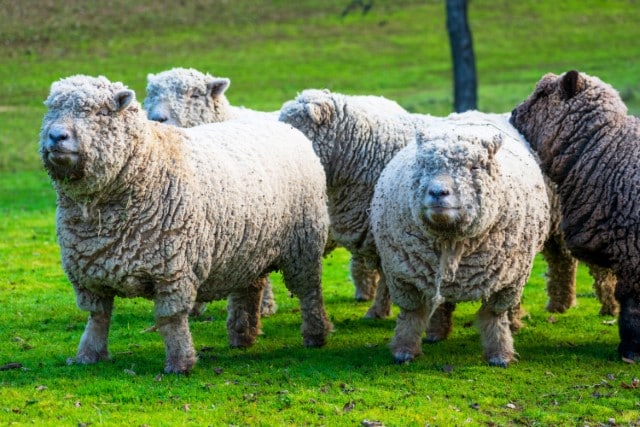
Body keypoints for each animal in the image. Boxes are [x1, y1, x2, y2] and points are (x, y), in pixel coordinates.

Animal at [40, 75, 332, 372]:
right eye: (51, 109)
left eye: (100, 112)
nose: (56, 136)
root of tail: (284, 126)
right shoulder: (89, 274)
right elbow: (97, 318)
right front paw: (88, 355)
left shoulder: (173, 271)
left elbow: (171, 321)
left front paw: (180, 363)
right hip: (250, 249)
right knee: (250, 289)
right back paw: (242, 335)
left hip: (303, 247)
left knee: (309, 292)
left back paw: (315, 335)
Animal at [370, 113, 552, 368]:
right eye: (426, 166)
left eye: (474, 167)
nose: (437, 192)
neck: (450, 238)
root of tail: (470, 114)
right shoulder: (401, 276)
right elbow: (411, 315)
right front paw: (404, 350)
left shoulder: (508, 280)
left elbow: (494, 317)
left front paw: (500, 353)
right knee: (440, 301)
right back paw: (436, 332)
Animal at [508, 69, 636, 362]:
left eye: (543, 93)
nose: (513, 113)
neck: (606, 150)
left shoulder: (632, 254)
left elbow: (632, 304)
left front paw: (631, 350)